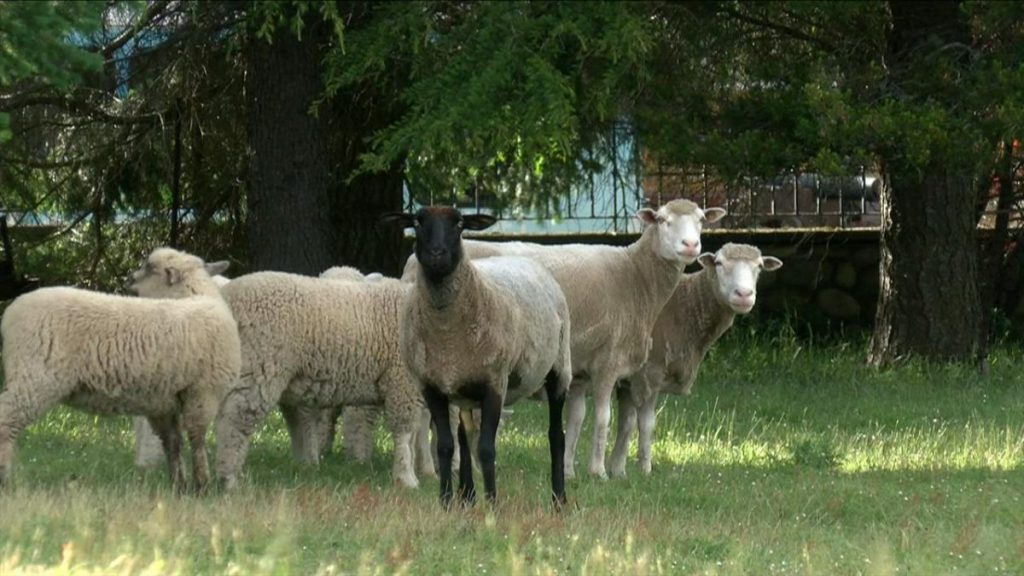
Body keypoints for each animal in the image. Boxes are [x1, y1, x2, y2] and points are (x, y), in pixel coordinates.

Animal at [0, 243, 237, 491]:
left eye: (149, 268)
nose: (128, 279)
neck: (196, 296)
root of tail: (10, 314)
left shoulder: (164, 403)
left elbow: (173, 443)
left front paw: (179, 486)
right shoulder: (203, 393)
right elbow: (197, 439)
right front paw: (202, 486)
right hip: (35, 377)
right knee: (6, 423)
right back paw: (5, 480)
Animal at [214, 266, 425, 485]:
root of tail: (227, 297)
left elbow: (412, 435)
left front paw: (412, 475)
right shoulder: (402, 381)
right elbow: (404, 433)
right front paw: (406, 478)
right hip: (261, 366)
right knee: (235, 420)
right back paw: (228, 478)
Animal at [385, 207, 573, 506]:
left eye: (460, 223)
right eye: (417, 221)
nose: (436, 253)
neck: (446, 334)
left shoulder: (494, 383)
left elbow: (486, 449)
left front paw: (492, 503)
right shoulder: (432, 386)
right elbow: (446, 446)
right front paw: (446, 502)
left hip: (559, 368)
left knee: (556, 436)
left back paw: (558, 499)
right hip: (464, 391)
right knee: (463, 439)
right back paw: (468, 497)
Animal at [403, 196, 733, 475]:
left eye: (701, 220)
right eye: (663, 220)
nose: (691, 245)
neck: (636, 276)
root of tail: (411, 264)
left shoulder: (582, 369)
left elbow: (576, 420)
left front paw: (570, 470)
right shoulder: (607, 362)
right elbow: (603, 418)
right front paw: (598, 472)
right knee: (429, 415)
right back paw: (436, 468)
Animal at [606, 241, 782, 475]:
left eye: (760, 266)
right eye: (719, 263)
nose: (744, 294)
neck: (686, 307)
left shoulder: (633, 380)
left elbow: (631, 423)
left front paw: (623, 469)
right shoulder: (648, 373)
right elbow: (641, 424)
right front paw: (639, 470)